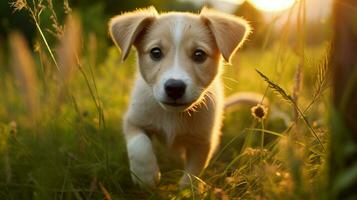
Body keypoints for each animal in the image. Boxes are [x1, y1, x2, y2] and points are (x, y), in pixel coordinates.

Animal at [108, 6, 250, 188]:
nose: (174, 87)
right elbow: (139, 145)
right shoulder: (133, 120)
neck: (172, 116)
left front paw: (187, 189)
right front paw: (145, 176)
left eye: (199, 54)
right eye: (155, 52)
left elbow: (194, 171)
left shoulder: (202, 141)